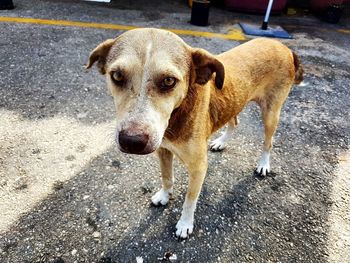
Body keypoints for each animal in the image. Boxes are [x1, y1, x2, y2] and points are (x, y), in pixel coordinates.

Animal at [87, 28, 304, 239]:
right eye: (117, 76)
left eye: (168, 81)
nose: (132, 141)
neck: (176, 115)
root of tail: (284, 47)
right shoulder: (163, 151)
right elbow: (167, 177)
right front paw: (165, 196)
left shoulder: (198, 167)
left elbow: (190, 199)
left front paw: (185, 224)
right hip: (234, 103)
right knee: (235, 122)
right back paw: (221, 142)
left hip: (271, 113)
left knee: (268, 142)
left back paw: (263, 164)